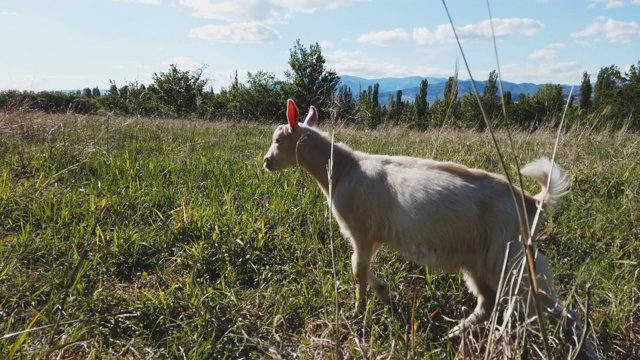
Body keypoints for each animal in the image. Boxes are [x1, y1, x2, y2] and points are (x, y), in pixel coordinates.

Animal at [262, 100, 596, 358]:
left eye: (278, 140)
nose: (266, 162)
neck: (343, 169)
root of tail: (533, 202)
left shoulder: (361, 231)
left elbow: (357, 269)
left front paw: (358, 311)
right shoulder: (374, 237)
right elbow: (363, 268)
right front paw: (385, 295)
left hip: (513, 261)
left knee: (560, 312)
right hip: (481, 260)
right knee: (488, 302)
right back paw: (451, 335)